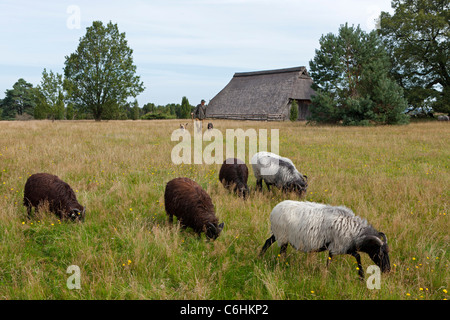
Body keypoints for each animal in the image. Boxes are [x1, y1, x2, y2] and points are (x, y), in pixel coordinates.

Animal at [260, 201, 390, 278]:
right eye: (380, 253)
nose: (388, 270)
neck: (354, 233)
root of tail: (274, 210)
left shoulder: (339, 247)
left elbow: (331, 258)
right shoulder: (339, 246)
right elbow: (356, 256)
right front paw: (361, 276)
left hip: (277, 234)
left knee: (267, 242)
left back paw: (260, 257)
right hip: (282, 236)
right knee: (281, 251)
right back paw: (282, 264)